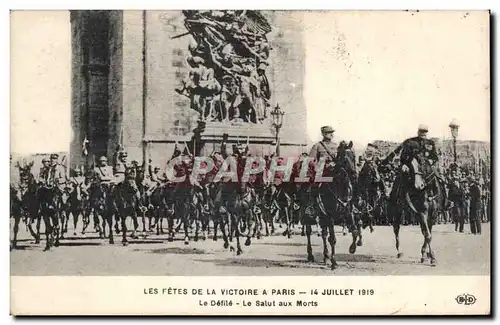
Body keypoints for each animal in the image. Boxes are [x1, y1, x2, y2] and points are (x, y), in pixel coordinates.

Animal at [304, 140, 360, 270]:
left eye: (354, 157)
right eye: (345, 159)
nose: (354, 176)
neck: (339, 187)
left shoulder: (348, 213)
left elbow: (354, 231)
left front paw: (352, 248)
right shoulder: (330, 217)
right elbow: (333, 239)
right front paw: (334, 262)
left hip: (322, 216)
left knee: (324, 234)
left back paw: (325, 256)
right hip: (307, 215)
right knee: (308, 232)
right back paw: (311, 255)